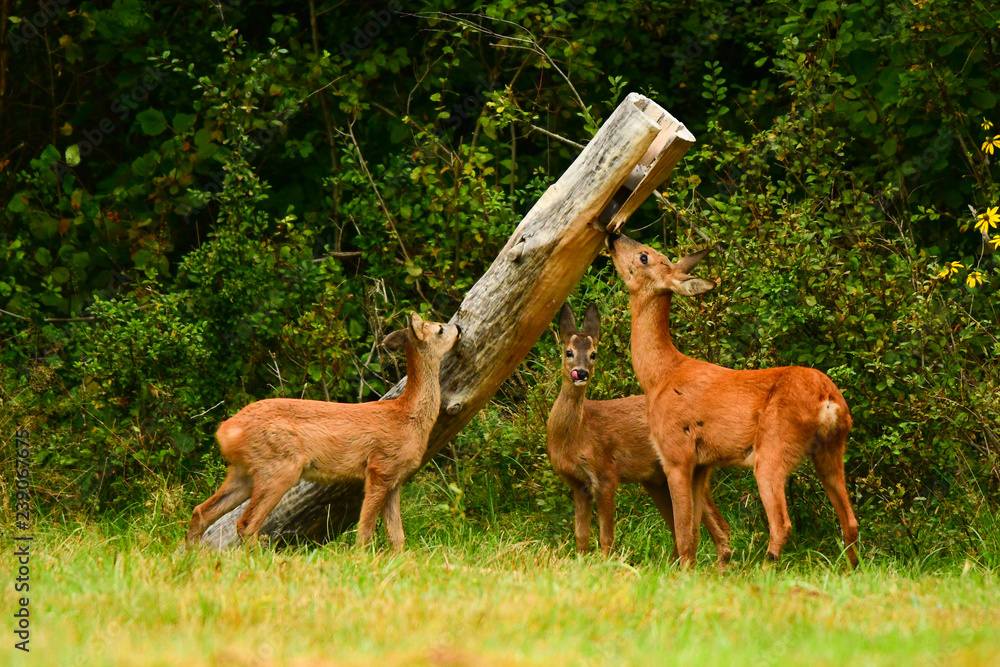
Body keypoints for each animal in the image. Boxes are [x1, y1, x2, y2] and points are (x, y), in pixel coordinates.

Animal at [186, 311, 461, 552]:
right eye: (439, 328)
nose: (458, 328)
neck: (408, 415)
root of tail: (226, 431)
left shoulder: (396, 480)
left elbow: (397, 536)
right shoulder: (380, 468)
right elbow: (365, 530)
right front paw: (361, 560)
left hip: (244, 472)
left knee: (202, 511)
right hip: (280, 468)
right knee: (245, 523)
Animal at [546, 302, 732, 568]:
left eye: (593, 354)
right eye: (568, 352)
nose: (580, 373)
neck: (576, 434)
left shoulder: (605, 473)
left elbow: (606, 535)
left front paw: (606, 566)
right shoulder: (577, 483)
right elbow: (581, 536)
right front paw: (581, 564)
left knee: (716, 527)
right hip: (656, 480)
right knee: (680, 529)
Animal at [606, 233, 859, 569]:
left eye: (644, 256)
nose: (614, 235)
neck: (659, 376)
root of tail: (828, 400)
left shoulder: (676, 453)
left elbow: (683, 531)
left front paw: (683, 571)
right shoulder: (703, 464)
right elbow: (696, 530)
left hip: (773, 449)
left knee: (782, 523)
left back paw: (765, 569)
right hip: (831, 450)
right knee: (850, 521)